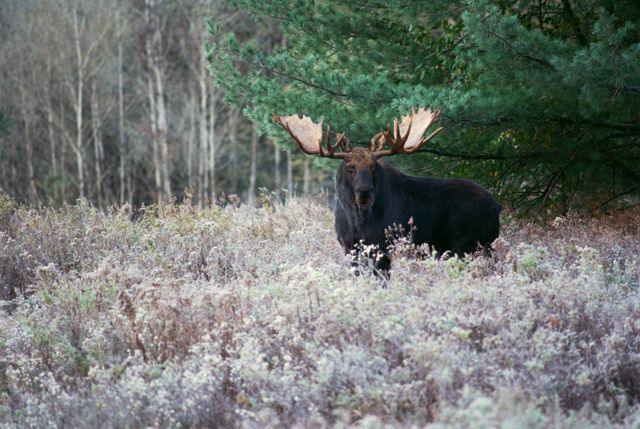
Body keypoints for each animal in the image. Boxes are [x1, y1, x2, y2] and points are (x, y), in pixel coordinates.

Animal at [274, 107, 500, 270]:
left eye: (373, 166)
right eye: (350, 167)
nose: (365, 193)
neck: (358, 221)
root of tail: (496, 207)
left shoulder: (383, 247)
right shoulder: (349, 248)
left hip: (467, 245)